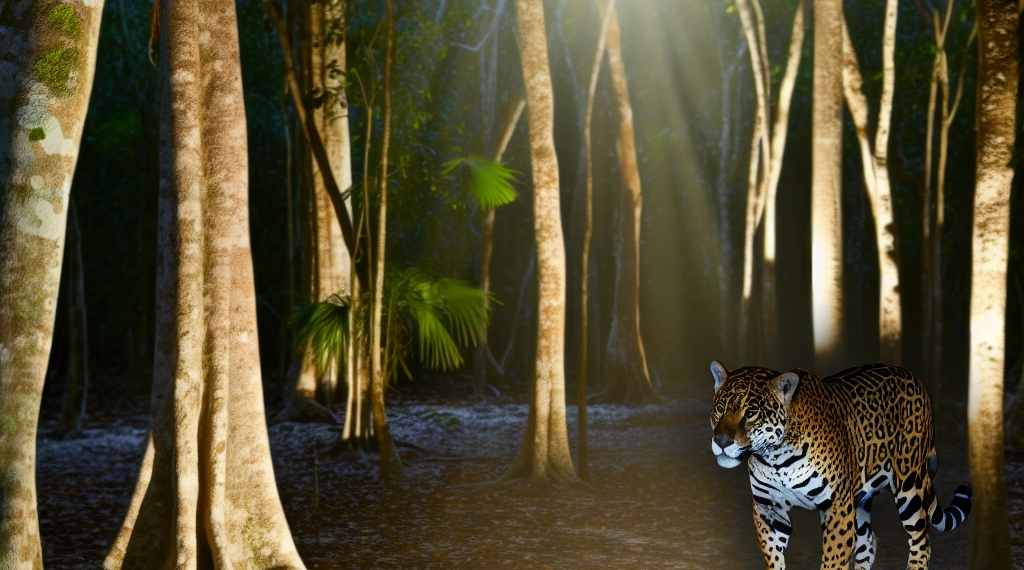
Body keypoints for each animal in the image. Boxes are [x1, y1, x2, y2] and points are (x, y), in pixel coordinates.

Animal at [708, 361, 972, 570]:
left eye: (751, 413)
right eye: (720, 409)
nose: (721, 441)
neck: (776, 458)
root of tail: (913, 376)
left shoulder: (836, 506)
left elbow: (833, 560)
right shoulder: (768, 509)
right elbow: (775, 559)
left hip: (909, 486)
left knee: (921, 543)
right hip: (860, 500)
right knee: (868, 544)